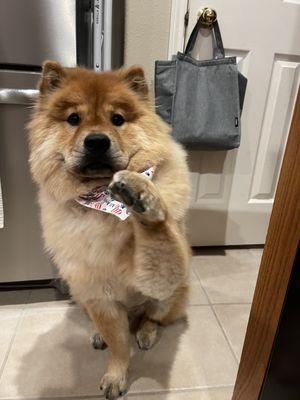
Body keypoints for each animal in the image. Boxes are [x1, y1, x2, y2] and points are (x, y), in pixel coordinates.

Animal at [29, 61, 191, 398]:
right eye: (73, 119)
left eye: (117, 119)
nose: (96, 141)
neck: (102, 204)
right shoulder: (99, 296)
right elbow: (118, 345)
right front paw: (116, 374)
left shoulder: (160, 275)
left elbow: (159, 231)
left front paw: (142, 194)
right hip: (82, 293)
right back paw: (98, 333)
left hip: (171, 296)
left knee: (152, 316)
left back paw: (145, 331)